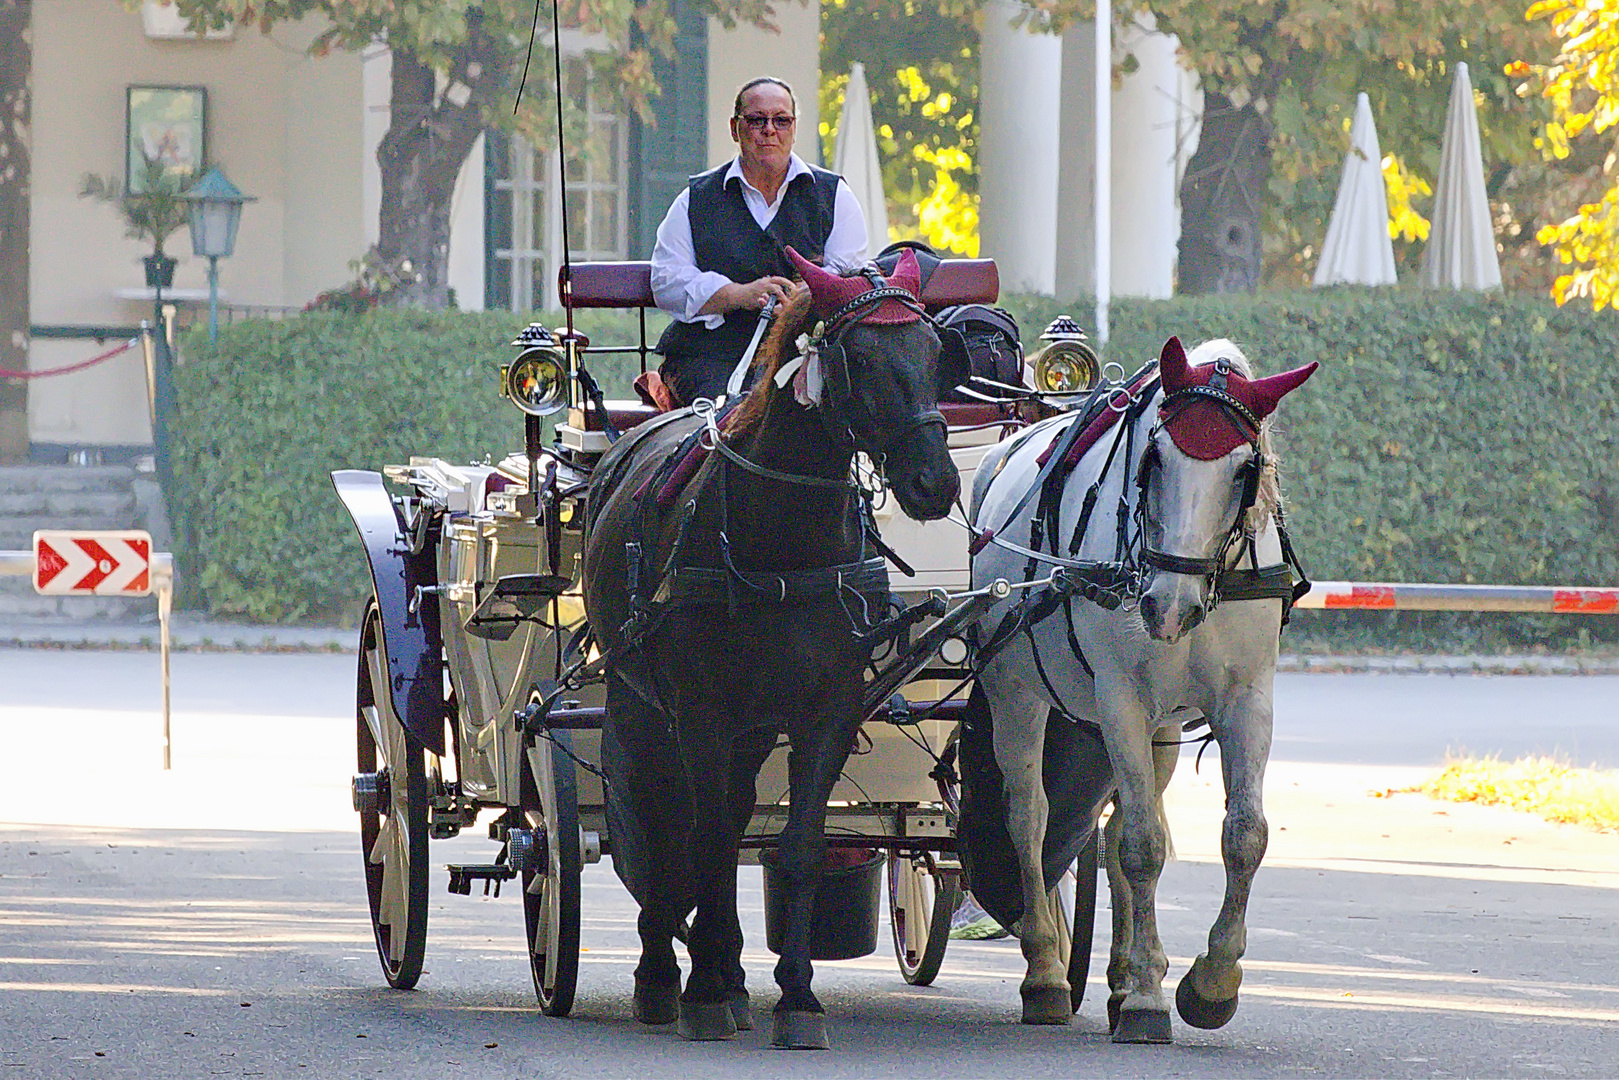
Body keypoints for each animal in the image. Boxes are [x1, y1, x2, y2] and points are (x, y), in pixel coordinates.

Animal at [582, 249, 958, 1049]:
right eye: (858, 357)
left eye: (936, 351)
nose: (935, 481)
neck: (781, 538)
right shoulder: (699, 716)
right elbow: (702, 841)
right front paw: (700, 989)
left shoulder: (826, 714)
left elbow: (796, 844)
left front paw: (796, 997)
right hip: (638, 701)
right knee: (663, 820)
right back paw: (665, 971)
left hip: (752, 726)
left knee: (731, 811)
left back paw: (726, 970)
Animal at [958, 340, 1314, 1049]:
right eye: (1153, 459)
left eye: (1246, 470)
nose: (1167, 606)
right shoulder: (1120, 701)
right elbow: (1144, 845)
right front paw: (1151, 996)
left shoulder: (1247, 702)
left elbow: (1244, 835)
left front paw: (1211, 981)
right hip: (1016, 692)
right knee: (1030, 818)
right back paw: (1046, 971)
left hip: (1162, 729)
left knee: (1119, 821)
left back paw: (1121, 975)